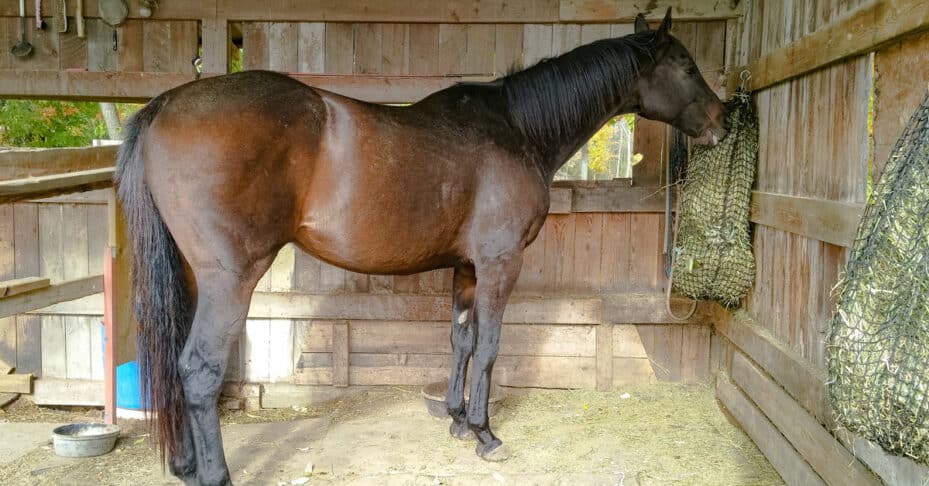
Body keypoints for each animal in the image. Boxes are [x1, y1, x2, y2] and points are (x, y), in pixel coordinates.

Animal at [114, 9, 726, 485]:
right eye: (687, 65)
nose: (722, 122)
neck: (517, 128)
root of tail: (164, 105)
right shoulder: (501, 263)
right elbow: (490, 347)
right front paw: (485, 433)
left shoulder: (467, 268)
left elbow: (460, 342)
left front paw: (456, 419)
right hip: (230, 276)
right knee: (198, 369)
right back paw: (215, 474)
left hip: (191, 274)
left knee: (172, 359)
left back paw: (185, 465)